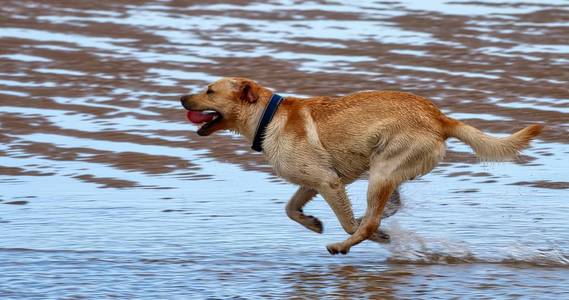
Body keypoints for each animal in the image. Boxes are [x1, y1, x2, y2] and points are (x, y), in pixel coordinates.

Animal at [180, 77, 544, 255]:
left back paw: (345, 246)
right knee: (390, 205)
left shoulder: (328, 182)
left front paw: (356, 232)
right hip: (387, 170)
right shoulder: (313, 182)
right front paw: (312, 222)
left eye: (209, 91)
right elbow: (290, 208)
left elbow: (347, 222)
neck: (267, 118)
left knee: (369, 222)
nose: (181, 98)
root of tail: (440, 118)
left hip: (381, 172)